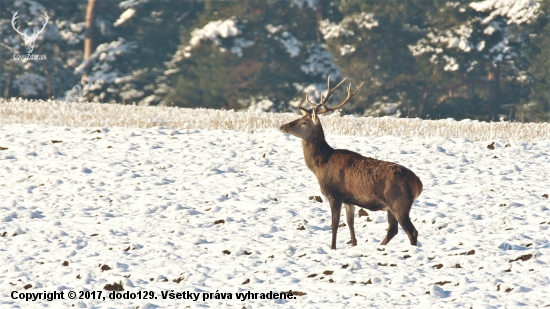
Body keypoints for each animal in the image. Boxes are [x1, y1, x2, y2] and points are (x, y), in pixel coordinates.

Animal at [282, 76, 424, 248]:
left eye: (304, 122)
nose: (282, 126)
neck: (320, 165)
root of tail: (418, 183)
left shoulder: (334, 194)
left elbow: (334, 224)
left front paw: (333, 247)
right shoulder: (349, 200)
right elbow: (350, 223)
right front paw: (354, 244)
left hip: (398, 202)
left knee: (411, 231)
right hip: (392, 206)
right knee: (393, 230)